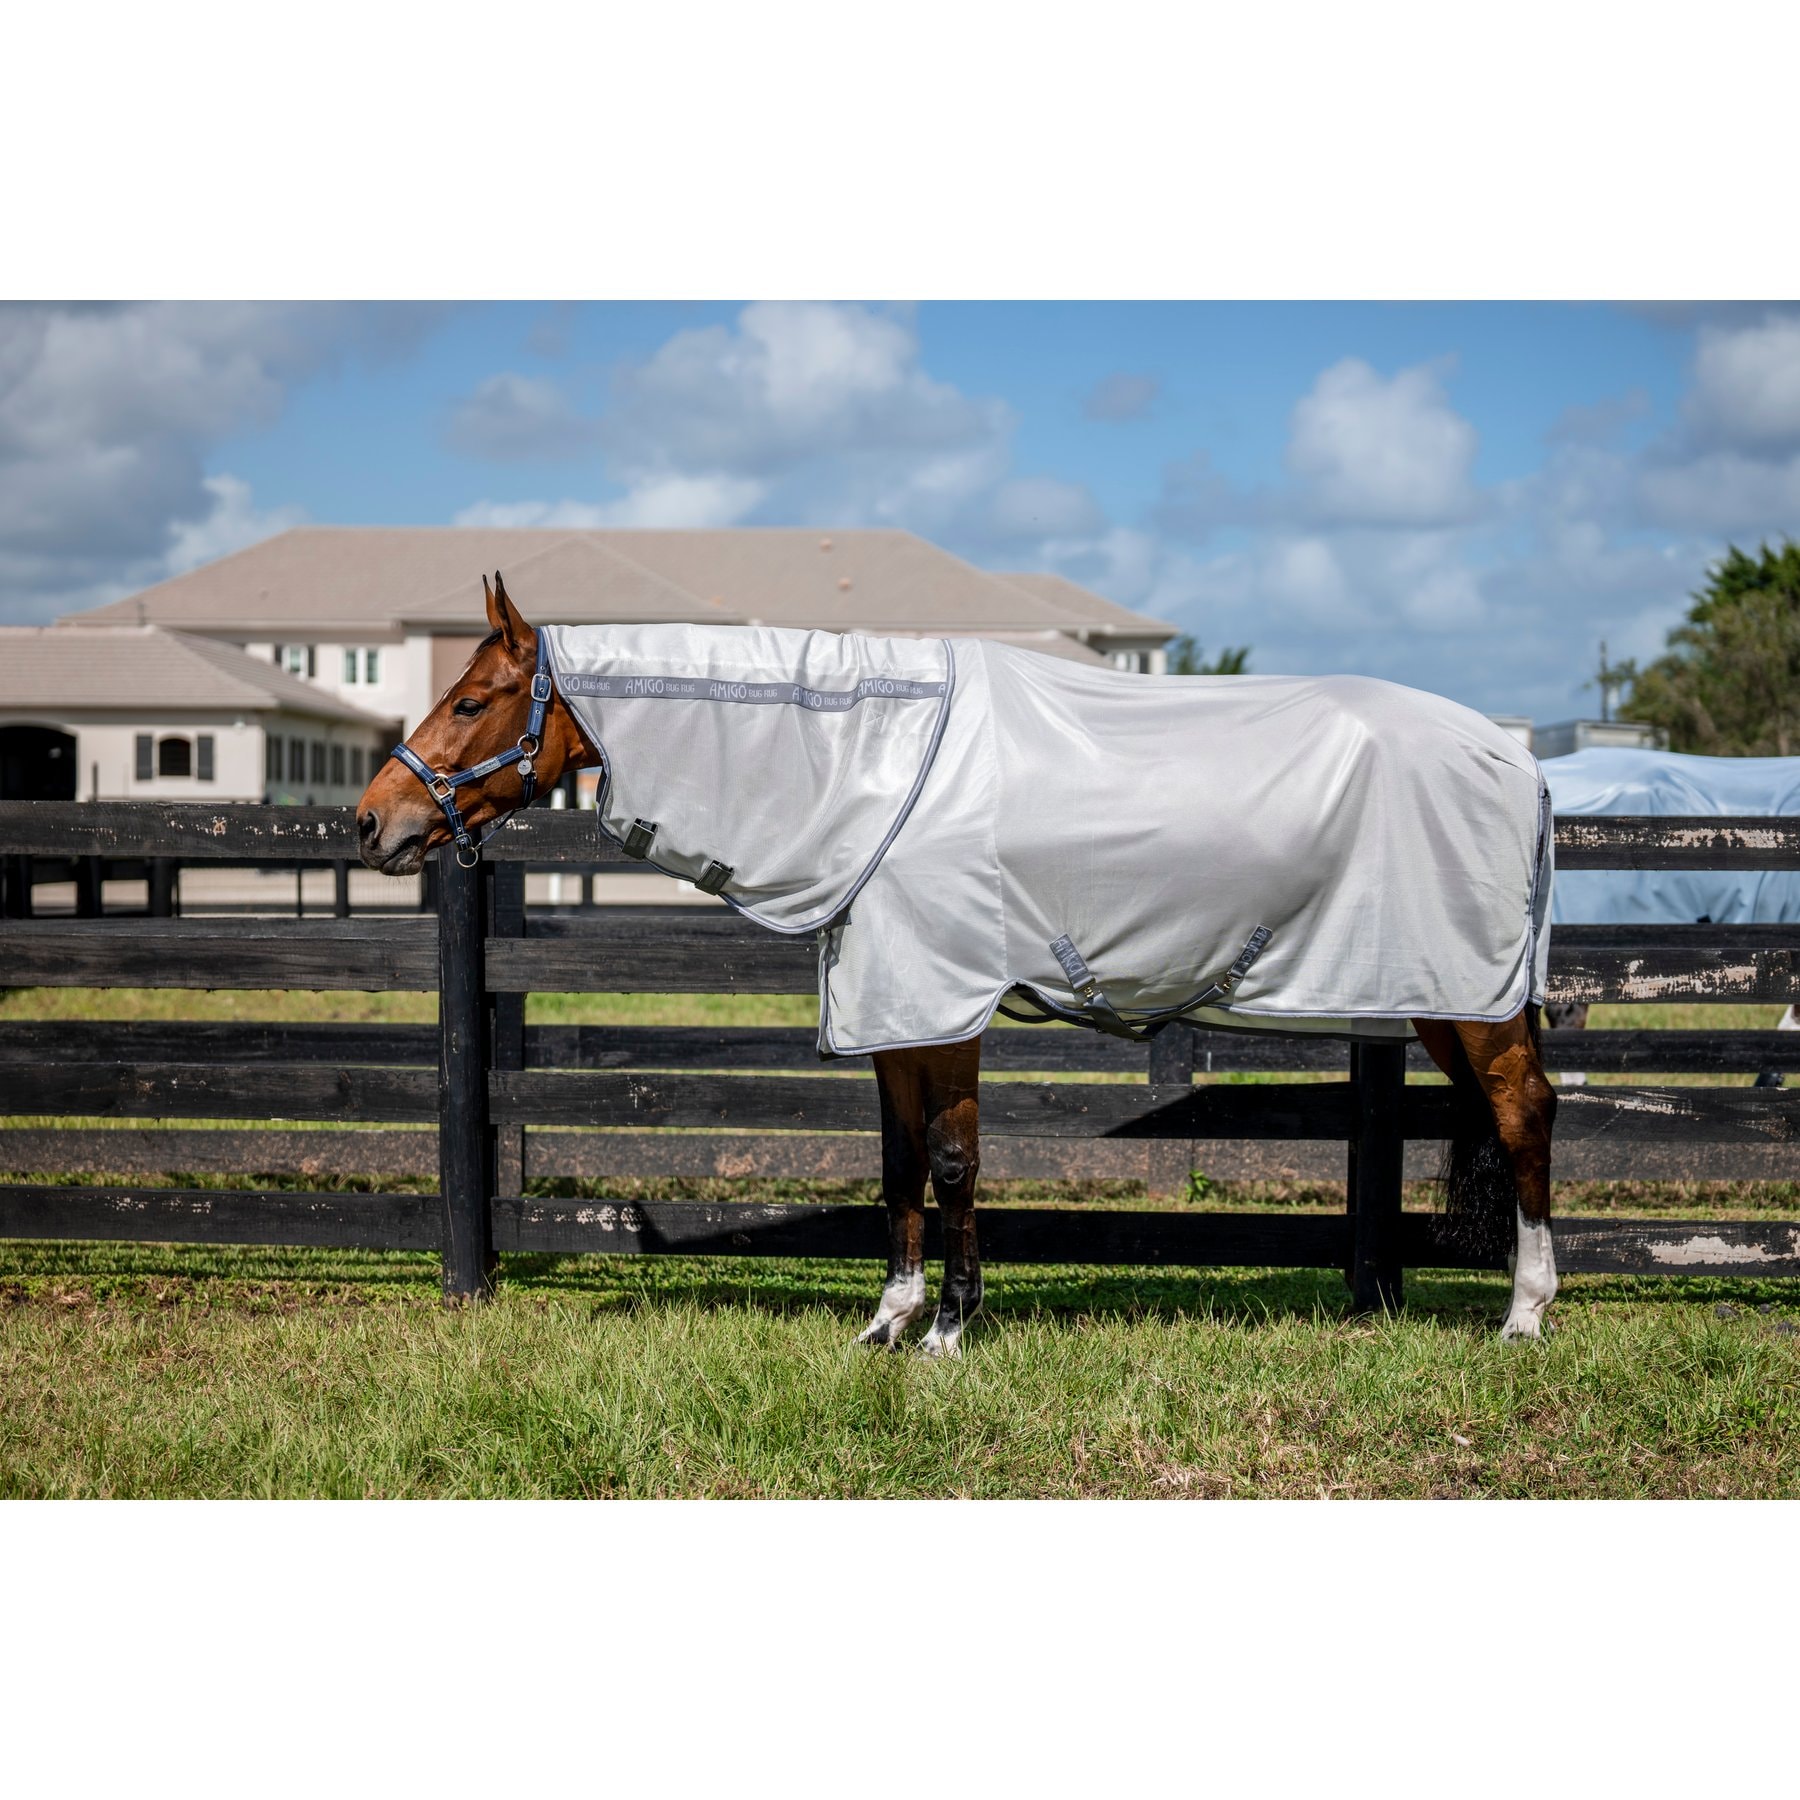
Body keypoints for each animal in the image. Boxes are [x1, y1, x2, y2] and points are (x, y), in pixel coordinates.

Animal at [357, 573, 1560, 1350]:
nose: (374, 823)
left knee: (1526, 1115)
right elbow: (898, 1166)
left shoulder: (945, 1005)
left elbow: (951, 1163)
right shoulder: (894, 1014)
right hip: (1445, 1000)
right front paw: (888, 1322)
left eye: (471, 700)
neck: (871, 765)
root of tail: (1519, 758)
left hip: (1475, 1002)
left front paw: (948, 1328)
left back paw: (1525, 1315)